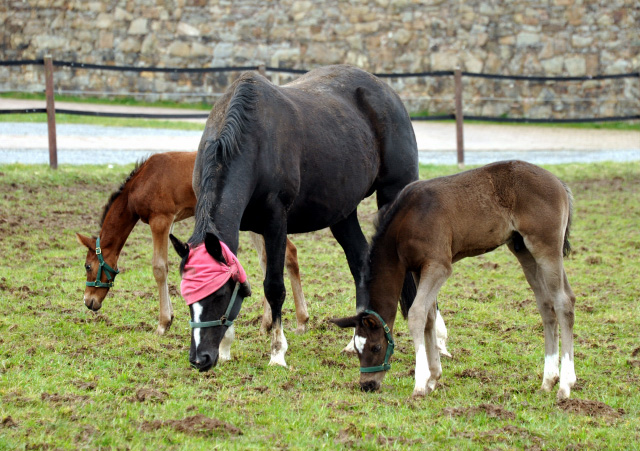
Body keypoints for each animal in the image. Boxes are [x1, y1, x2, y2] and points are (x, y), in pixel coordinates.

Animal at [77, 153, 308, 340]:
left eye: (88, 266)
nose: (88, 301)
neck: (142, 180)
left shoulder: (160, 219)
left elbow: (159, 268)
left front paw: (163, 323)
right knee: (277, 258)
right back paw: (280, 323)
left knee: (284, 255)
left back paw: (294, 321)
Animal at [170, 65, 420, 372]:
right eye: (187, 295)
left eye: (217, 295)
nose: (199, 358)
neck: (252, 140)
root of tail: (387, 92)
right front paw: (227, 347)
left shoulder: (275, 222)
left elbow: (274, 287)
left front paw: (277, 352)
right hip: (343, 212)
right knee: (360, 261)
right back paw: (356, 341)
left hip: (393, 194)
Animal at [332, 161, 576, 400]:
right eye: (357, 349)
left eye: (375, 347)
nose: (367, 385)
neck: (407, 221)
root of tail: (559, 183)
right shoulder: (419, 269)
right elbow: (429, 316)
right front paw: (433, 379)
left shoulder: (439, 266)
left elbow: (417, 313)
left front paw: (420, 384)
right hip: (523, 250)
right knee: (547, 305)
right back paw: (548, 381)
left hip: (546, 247)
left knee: (563, 301)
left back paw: (564, 386)